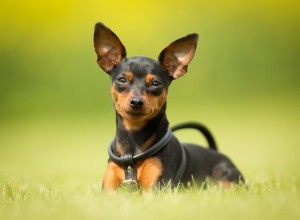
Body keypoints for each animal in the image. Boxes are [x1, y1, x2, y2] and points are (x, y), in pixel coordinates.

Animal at [94, 21, 244, 191]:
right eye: (122, 80)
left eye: (155, 83)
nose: (137, 102)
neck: (132, 140)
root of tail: (215, 152)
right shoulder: (109, 190)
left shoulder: (156, 187)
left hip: (227, 178)